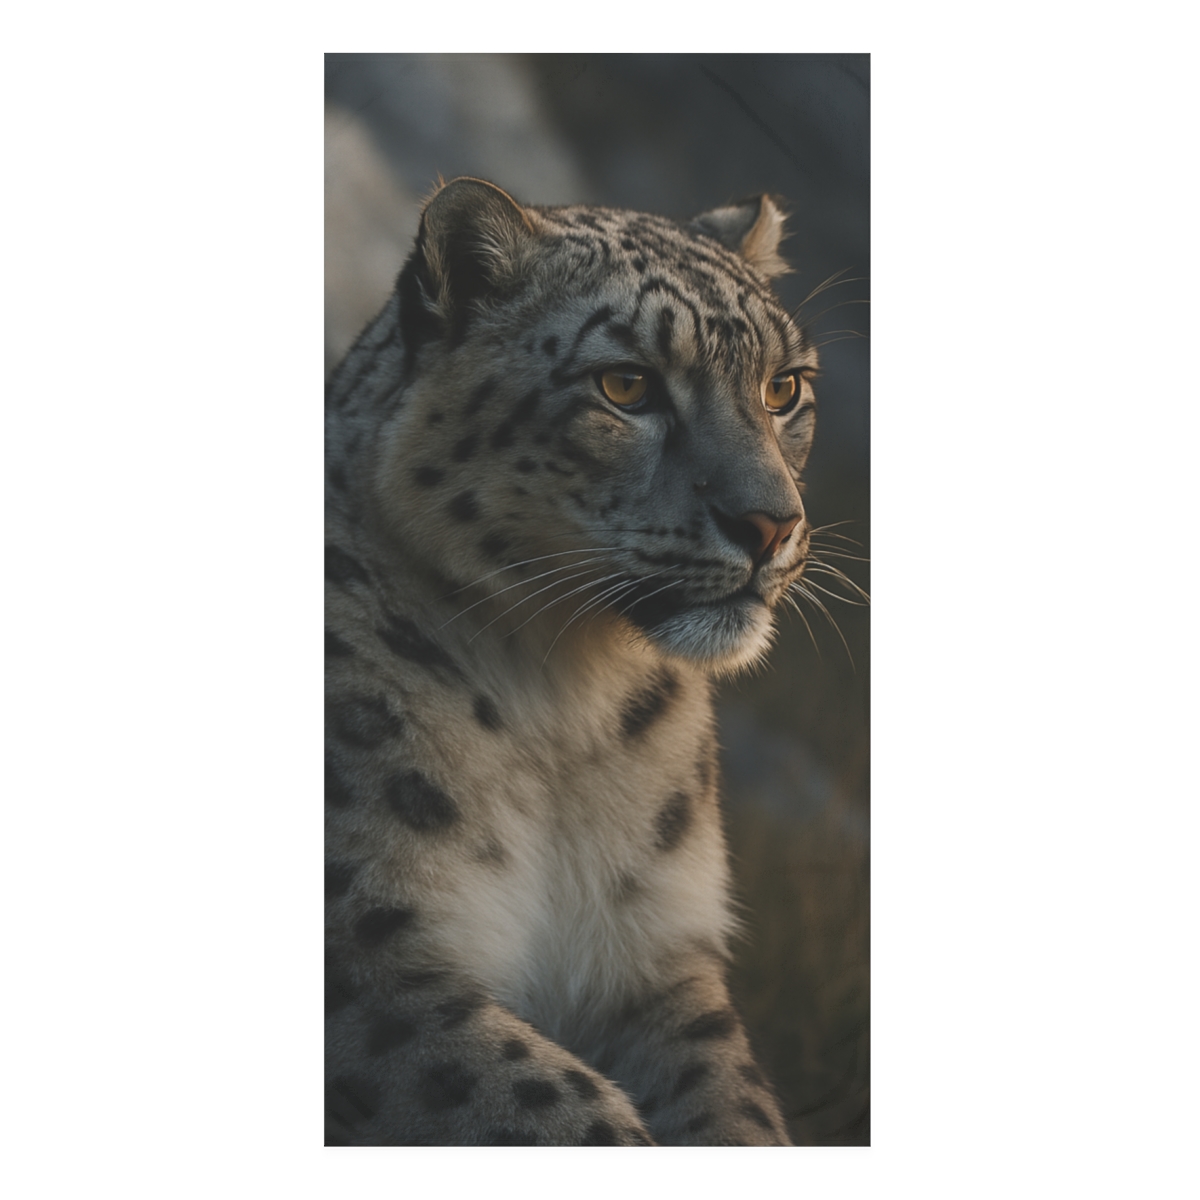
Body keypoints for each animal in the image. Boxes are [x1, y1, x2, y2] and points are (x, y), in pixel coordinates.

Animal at [325, 177, 822, 1146]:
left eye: (783, 387)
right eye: (626, 384)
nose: (771, 524)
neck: (564, 702)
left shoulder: (658, 958)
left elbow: (735, 1106)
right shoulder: (370, 956)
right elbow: (554, 1108)